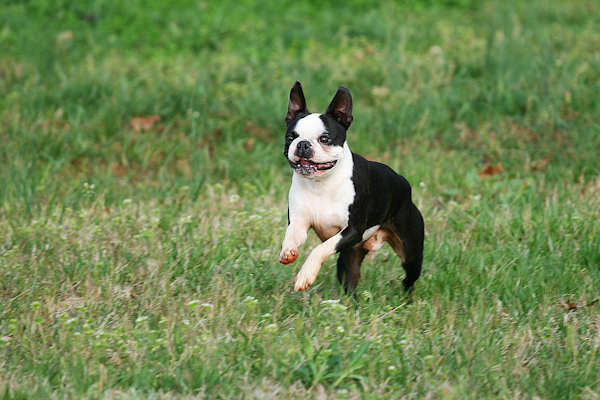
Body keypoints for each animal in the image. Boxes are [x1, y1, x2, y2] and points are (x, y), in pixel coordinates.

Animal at [278, 81, 424, 294]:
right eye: (290, 137)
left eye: (325, 139)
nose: (302, 144)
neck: (321, 184)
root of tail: (403, 182)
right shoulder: (299, 223)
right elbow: (290, 236)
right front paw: (288, 251)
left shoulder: (352, 231)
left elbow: (320, 249)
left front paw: (305, 275)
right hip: (351, 256)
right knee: (350, 278)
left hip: (411, 251)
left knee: (409, 277)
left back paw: (406, 297)